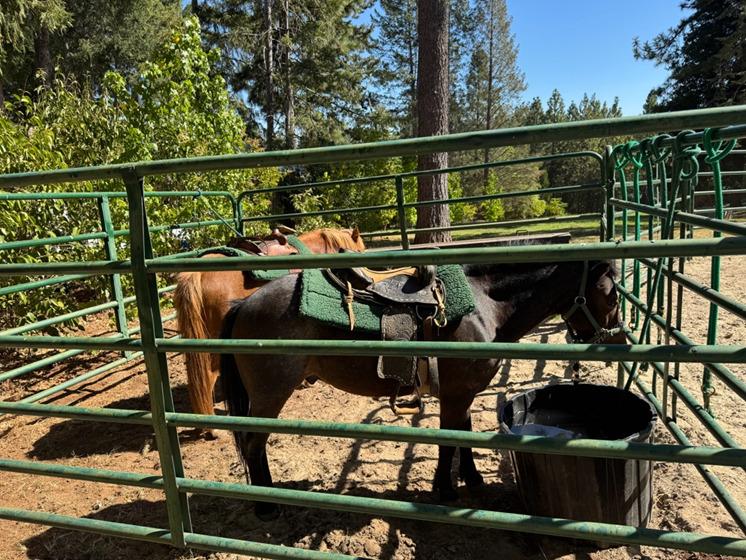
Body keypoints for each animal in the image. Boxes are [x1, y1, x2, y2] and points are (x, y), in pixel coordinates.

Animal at [219, 258, 626, 518]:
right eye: (612, 295)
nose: (617, 340)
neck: (484, 307)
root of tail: (244, 304)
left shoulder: (464, 393)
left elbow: (464, 434)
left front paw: (472, 478)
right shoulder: (455, 395)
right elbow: (448, 441)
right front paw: (445, 490)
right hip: (271, 395)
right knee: (253, 445)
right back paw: (266, 505)